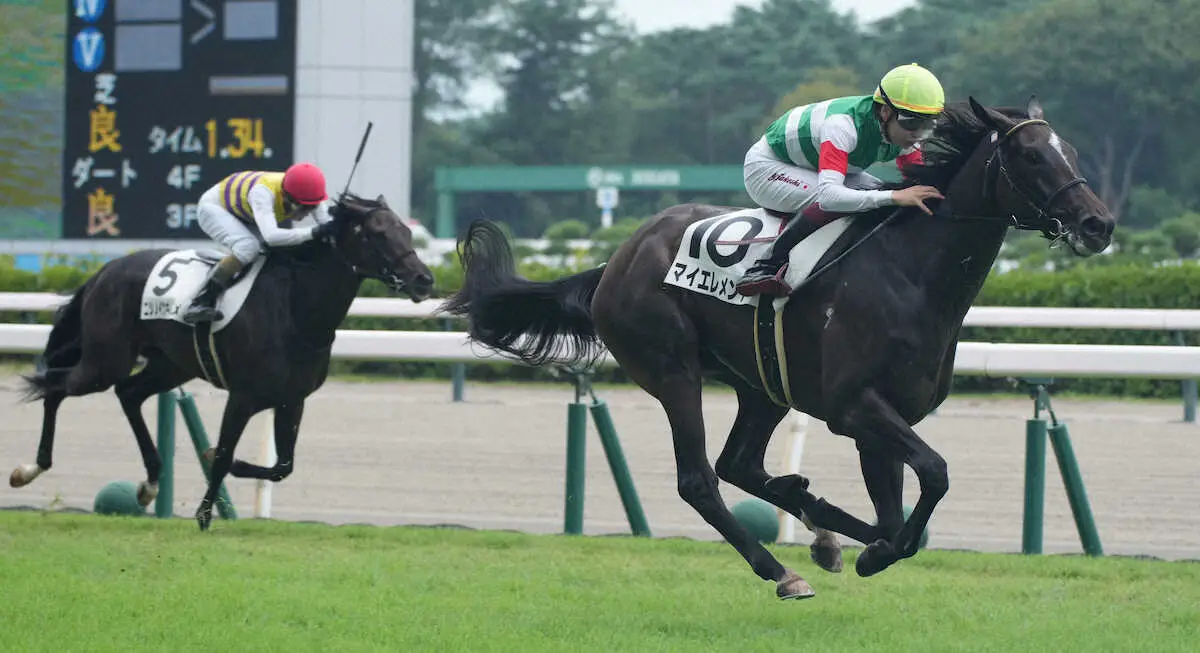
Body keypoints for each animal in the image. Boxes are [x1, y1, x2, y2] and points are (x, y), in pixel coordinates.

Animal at [9, 190, 434, 528]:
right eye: (378, 234)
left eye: (407, 231)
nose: (424, 279)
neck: (296, 310)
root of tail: (104, 271)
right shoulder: (243, 396)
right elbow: (225, 454)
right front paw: (203, 514)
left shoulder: (291, 399)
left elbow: (282, 466)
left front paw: (213, 470)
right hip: (104, 361)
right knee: (57, 387)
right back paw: (30, 469)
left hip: (171, 364)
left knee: (128, 393)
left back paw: (150, 483)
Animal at [441, 94, 1113, 600]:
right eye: (1030, 155)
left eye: (1073, 152)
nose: (1098, 224)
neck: (912, 275)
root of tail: (615, 261)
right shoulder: (854, 407)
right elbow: (934, 476)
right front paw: (868, 552)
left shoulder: (884, 417)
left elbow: (897, 516)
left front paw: (852, 541)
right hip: (672, 367)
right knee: (699, 479)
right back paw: (781, 570)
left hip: (760, 383)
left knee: (738, 464)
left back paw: (813, 525)